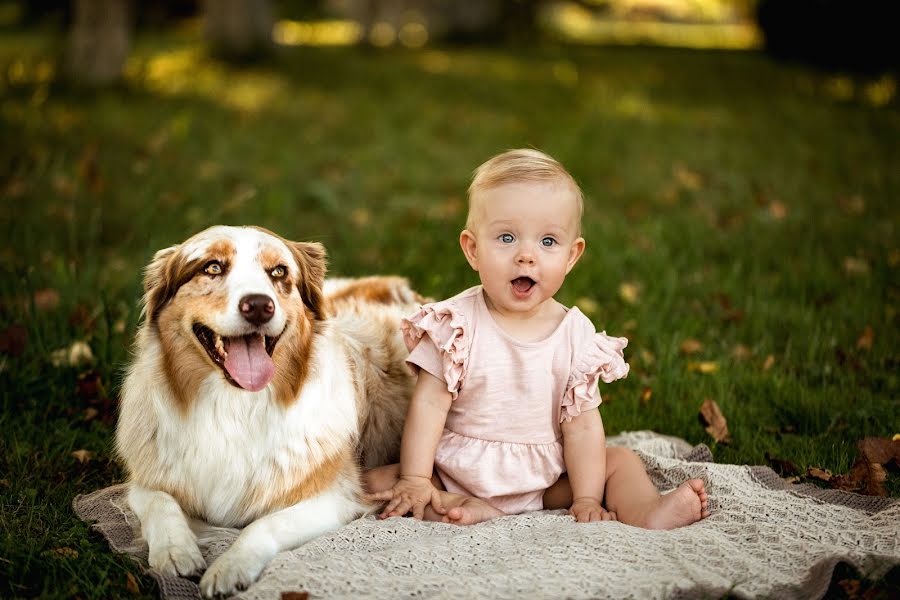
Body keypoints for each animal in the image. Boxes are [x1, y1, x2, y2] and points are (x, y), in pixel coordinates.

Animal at [114, 225, 420, 596]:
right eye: (212, 267)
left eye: (278, 272)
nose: (259, 306)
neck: (233, 404)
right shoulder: (145, 478)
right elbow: (160, 502)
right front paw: (175, 551)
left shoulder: (336, 498)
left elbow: (262, 525)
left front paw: (229, 567)